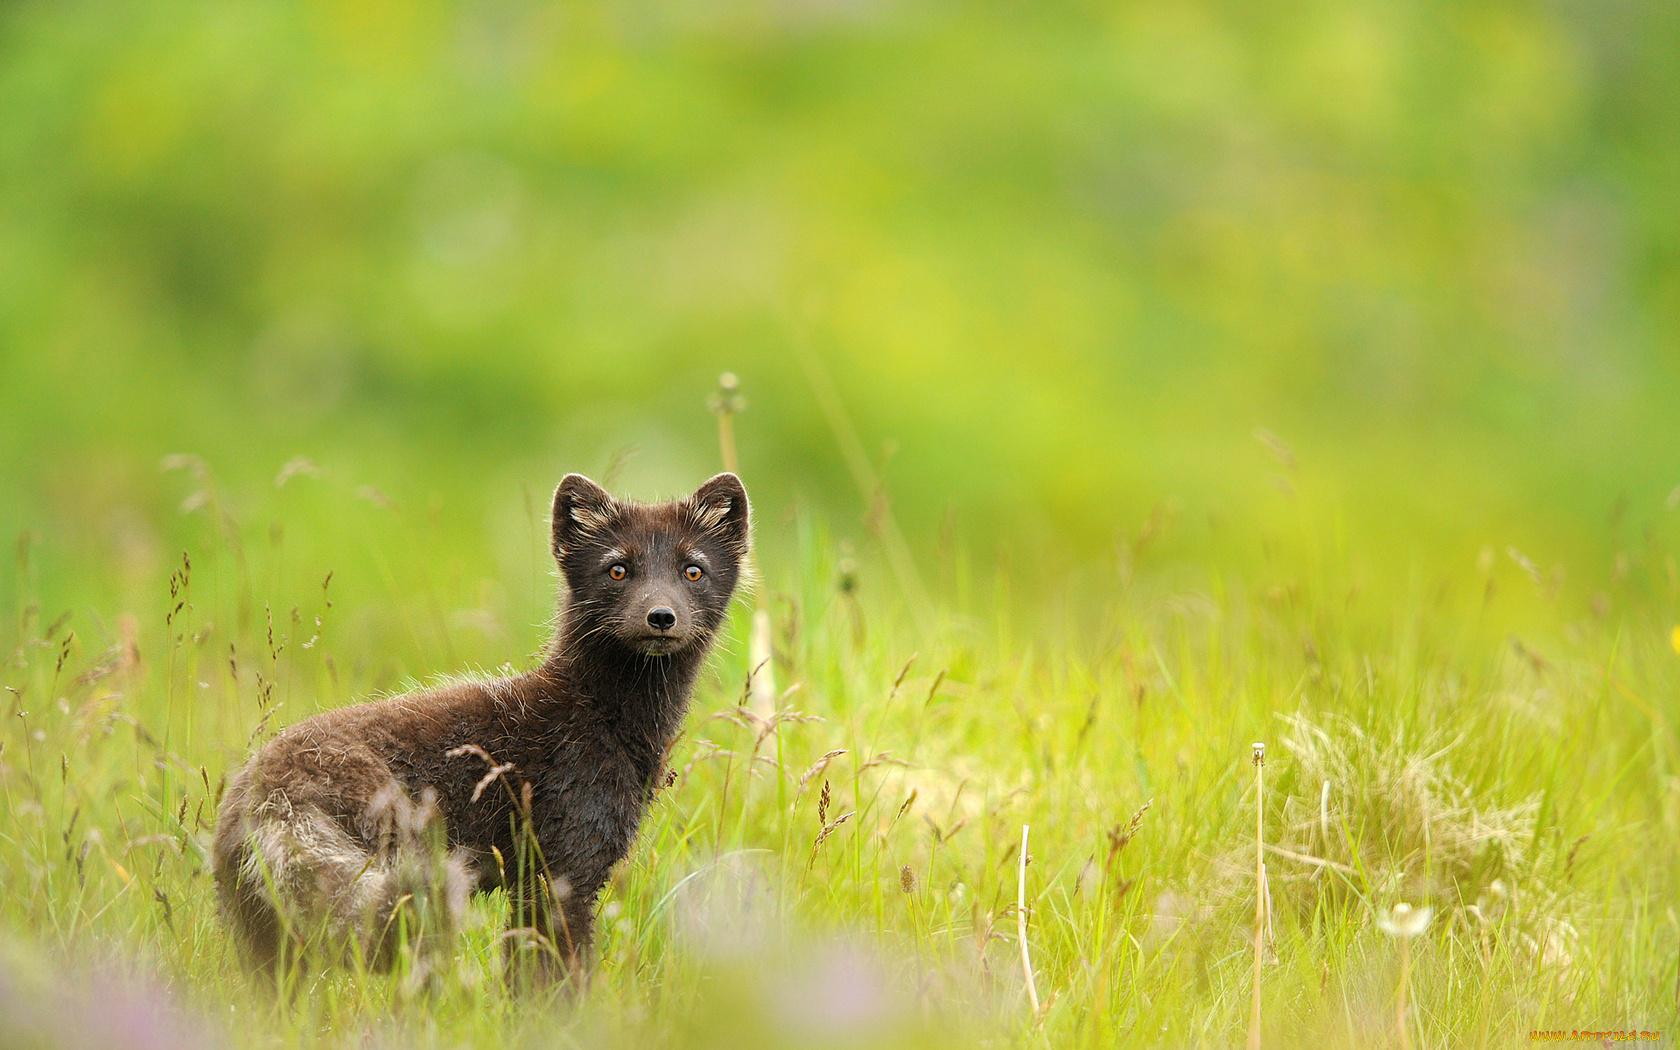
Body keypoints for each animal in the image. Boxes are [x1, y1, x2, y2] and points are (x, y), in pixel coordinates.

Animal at [215, 470, 749, 981]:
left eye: (694, 569)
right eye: (617, 568)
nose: (661, 615)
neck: (598, 717)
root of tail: (266, 796)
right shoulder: (561, 861)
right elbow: (553, 976)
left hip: (262, 933)